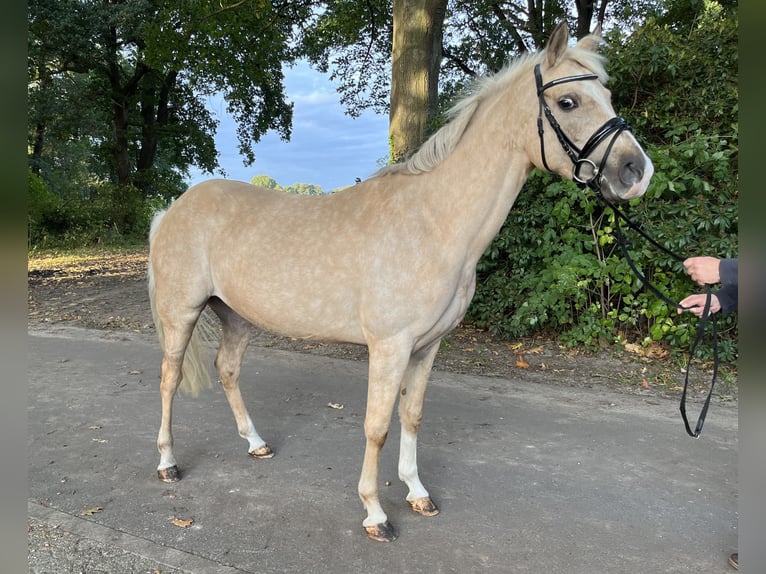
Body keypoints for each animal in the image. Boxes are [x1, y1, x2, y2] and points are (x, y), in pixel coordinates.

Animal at [148, 23, 656, 544]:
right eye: (568, 101)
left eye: (608, 95)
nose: (637, 172)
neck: (432, 222)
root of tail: (173, 208)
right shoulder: (389, 347)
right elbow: (377, 426)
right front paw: (375, 512)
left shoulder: (427, 347)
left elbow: (411, 416)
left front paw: (416, 492)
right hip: (182, 313)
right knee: (169, 379)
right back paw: (167, 462)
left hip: (236, 315)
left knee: (227, 369)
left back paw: (255, 443)